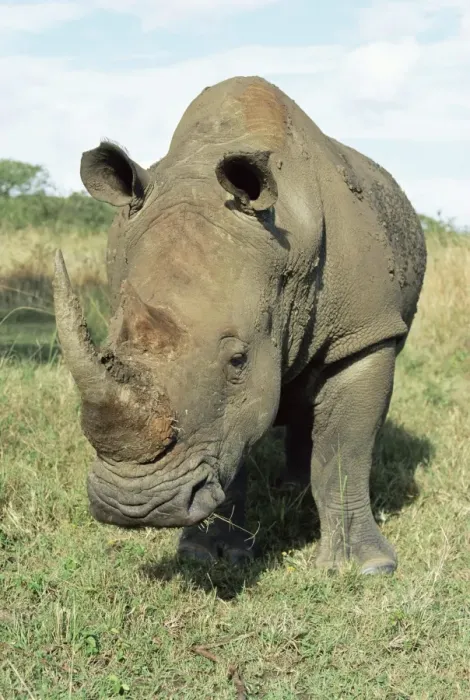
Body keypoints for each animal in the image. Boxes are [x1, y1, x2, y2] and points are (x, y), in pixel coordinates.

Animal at [53, 76, 426, 575]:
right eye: (108, 353)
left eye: (238, 360)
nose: (134, 505)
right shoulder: (219, 416)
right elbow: (232, 445)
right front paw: (209, 554)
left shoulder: (363, 335)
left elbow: (343, 451)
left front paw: (364, 569)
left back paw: (296, 493)